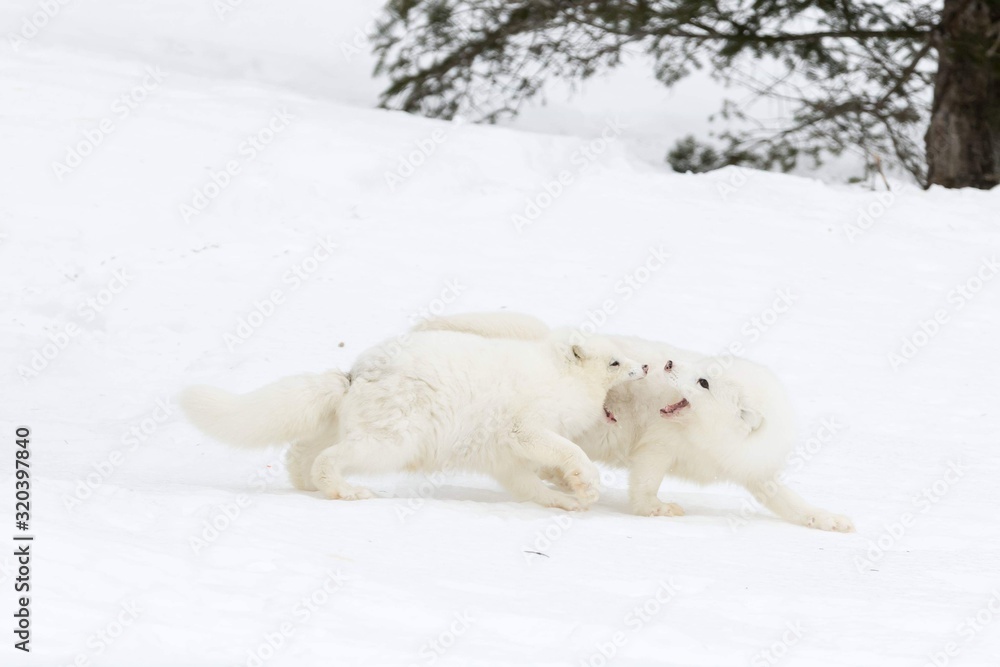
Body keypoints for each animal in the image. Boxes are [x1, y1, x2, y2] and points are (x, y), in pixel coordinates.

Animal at [180, 330, 648, 512]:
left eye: (626, 356)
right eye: (616, 362)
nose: (644, 367)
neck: (563, 378)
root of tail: (356, 372)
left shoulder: (506, 461)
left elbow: (531, 488)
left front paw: (568, 500)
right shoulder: (525, 430)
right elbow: (568, 451)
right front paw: (586, 483)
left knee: (299, 455)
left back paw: (309, 487)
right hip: (391, 445)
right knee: (327, 460)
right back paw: (345, 491)